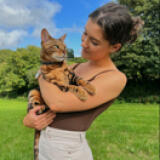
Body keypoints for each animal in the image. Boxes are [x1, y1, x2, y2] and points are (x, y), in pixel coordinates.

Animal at [27, 28, 95, 160]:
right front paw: (82, 93)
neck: (55, 65)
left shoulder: (71, 75)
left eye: (65, 47)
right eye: (56, 46)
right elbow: (72, 87)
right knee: (34, 108)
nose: (64, 52)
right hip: (33, 92)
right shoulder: (56, 84)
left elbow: (81, 79)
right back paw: (41, 107)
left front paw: (91, 87)